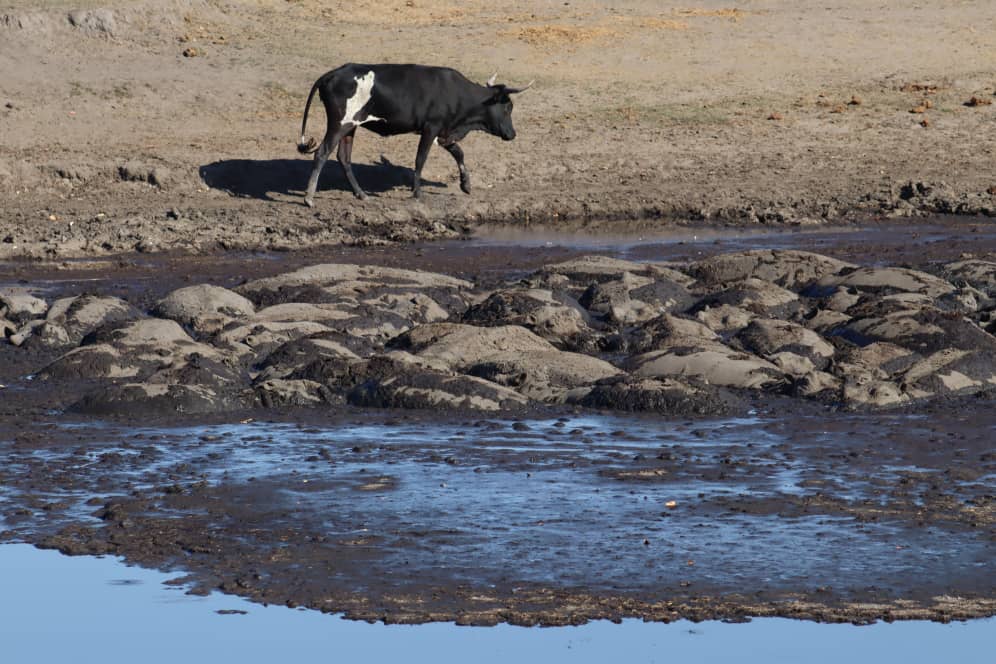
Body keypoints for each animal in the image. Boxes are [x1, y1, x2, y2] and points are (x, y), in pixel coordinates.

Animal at [296, 64, 528, 208]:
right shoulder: (431, 127)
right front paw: (417, 193)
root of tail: (332, 73)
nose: (512, 134)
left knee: (344, 158)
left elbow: (459, 153)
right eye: (507, 107)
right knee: (322, 153)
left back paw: (361, 194)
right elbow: (420, 159)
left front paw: (466, 185)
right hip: (339, 124)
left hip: (351, 126)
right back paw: (309, 198)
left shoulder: (444, 132)